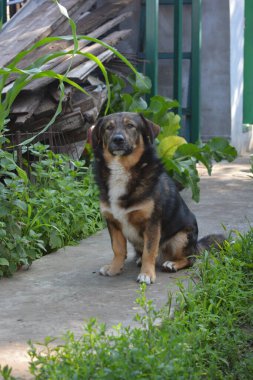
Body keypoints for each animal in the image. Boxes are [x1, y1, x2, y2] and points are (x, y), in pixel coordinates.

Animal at [90, 111, 223, 284]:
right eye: (108, 127)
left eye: (130, 125)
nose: (118, 139)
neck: (122, 169)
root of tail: (196, 246)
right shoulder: (112, 222)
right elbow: (118, 249)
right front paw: (114, 268)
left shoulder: (151, 223)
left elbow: (149, 251)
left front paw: (146, 274)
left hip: (181, 237)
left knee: (190, 259)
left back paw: (172, 264)